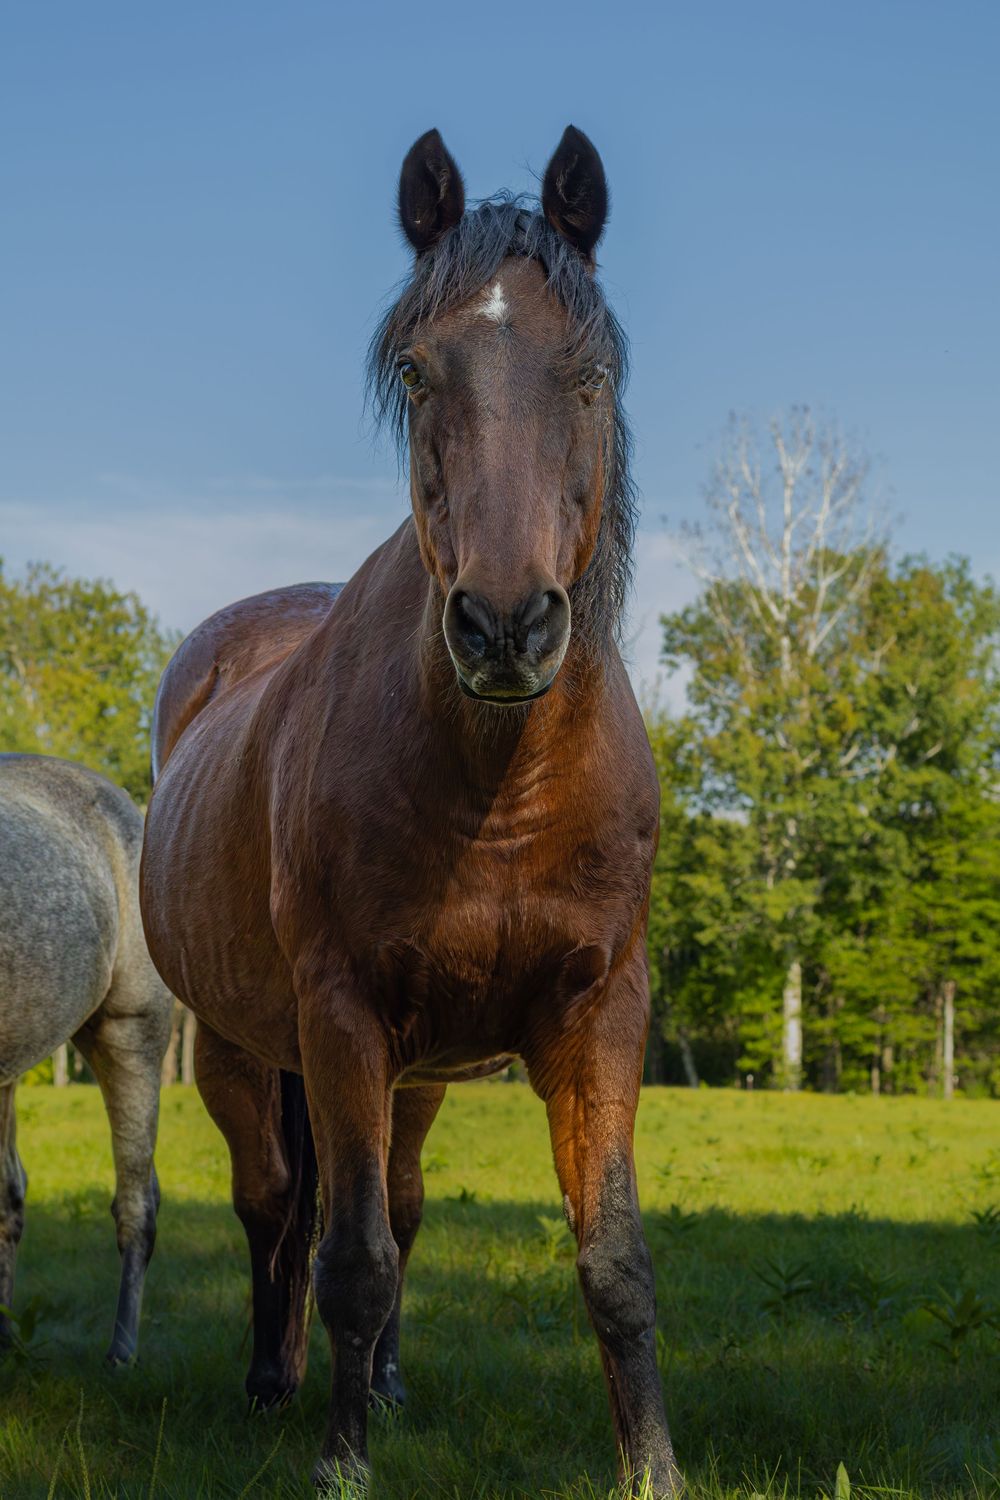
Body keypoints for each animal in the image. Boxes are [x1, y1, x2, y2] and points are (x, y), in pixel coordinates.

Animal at [139, 126, 680, 1495]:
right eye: (417, 371)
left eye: (591, 372)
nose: (505, 624)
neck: (500, 790)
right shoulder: (339, 1018)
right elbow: (350, 1257)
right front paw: (341, 1460)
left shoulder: (601, 1014)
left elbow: (612, 1261)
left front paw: (652, 1467)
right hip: (243, 1049)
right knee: (279, 1204)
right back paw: (276, 1380)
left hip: (420, 1071)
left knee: (398, 1194)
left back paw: (379, 1379)